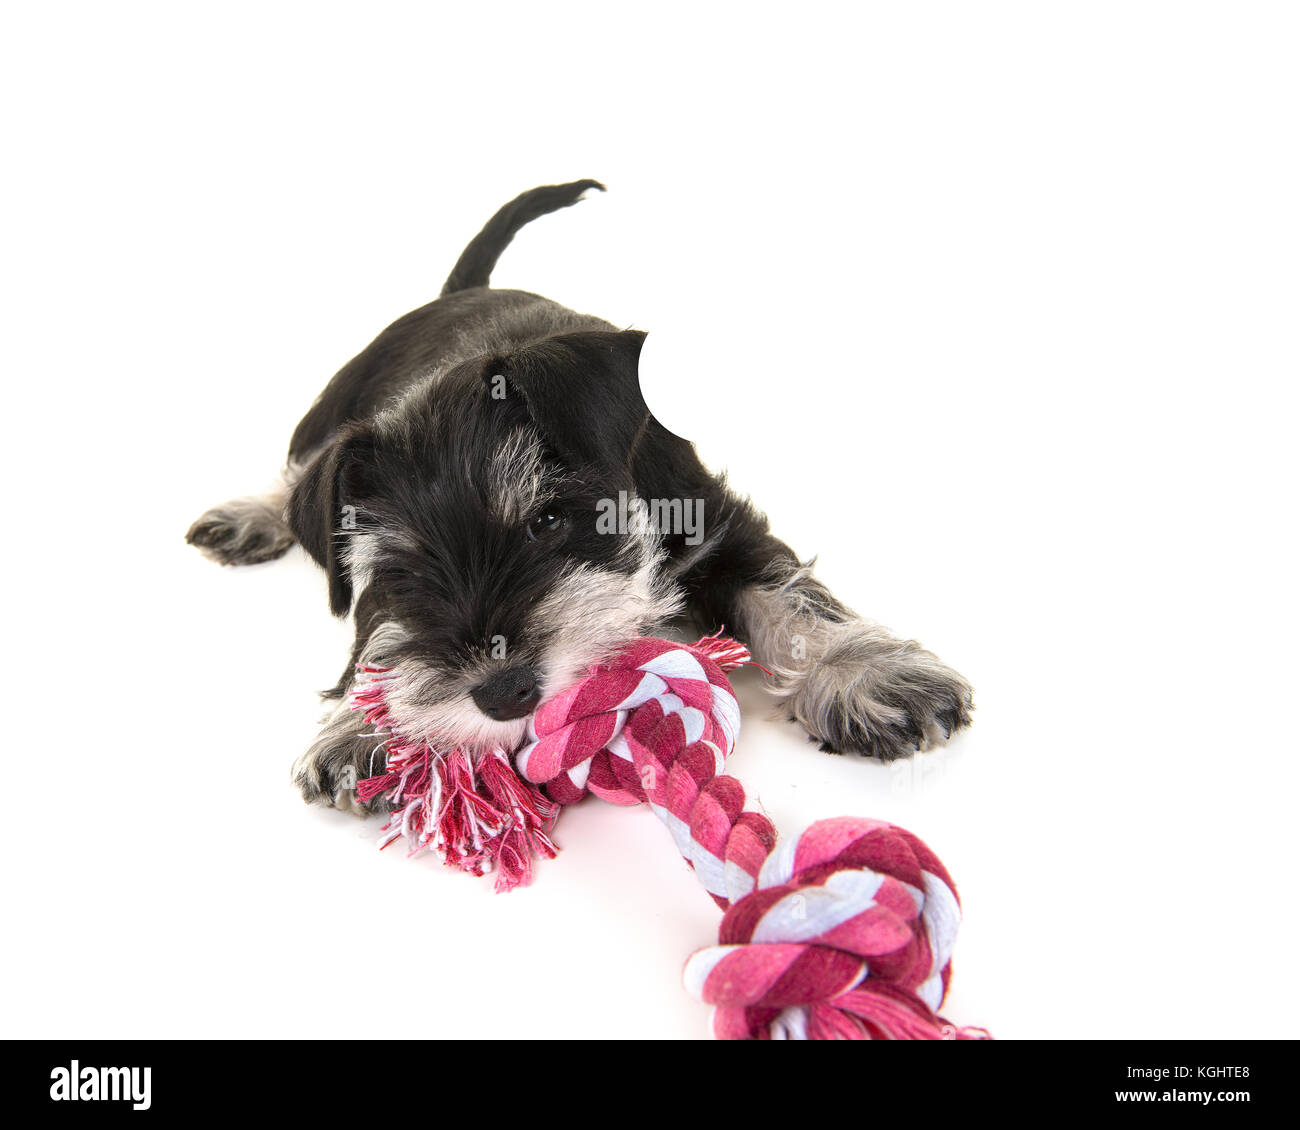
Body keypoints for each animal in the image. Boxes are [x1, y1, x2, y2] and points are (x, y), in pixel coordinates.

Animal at [188, 178, 972, 811]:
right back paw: (248, 517)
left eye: (546, 520)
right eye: (405, 569)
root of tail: (460, 292)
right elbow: (380, 637)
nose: (502, 692)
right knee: (300, 469)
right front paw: (367, 725)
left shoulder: (719, 521)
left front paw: (870, 673)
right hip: (333, 407)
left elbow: (790, 594)